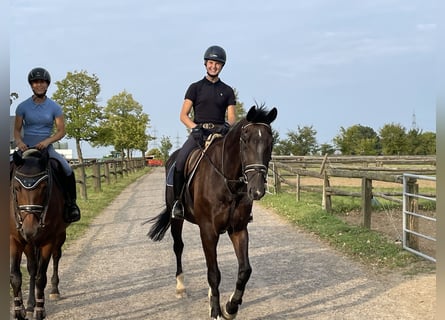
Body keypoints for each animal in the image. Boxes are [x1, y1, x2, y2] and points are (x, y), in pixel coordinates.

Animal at [10, 148, 69, 320]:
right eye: (16, 187)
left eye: (44, 187)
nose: (31, 229)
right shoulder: (15, 240)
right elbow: (16, 276)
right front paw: (19, 310)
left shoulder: (47, 241)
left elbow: (41, 277)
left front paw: (40, 311)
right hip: (29, 244)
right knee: (32, 268)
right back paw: (30, 305)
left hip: (59, 236)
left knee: (56, 257)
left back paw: (54, 290)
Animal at [147, 104, 276, 318]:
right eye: (245, 140)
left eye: (270, 141)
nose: (257, 191)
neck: (227, 182)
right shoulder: (208, 230)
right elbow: (214, 273)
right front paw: (216, 311)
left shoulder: (238, 229)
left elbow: (244, 270)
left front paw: (231, 307)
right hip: (177, 220)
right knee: (179, 247)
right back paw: (181, 287)